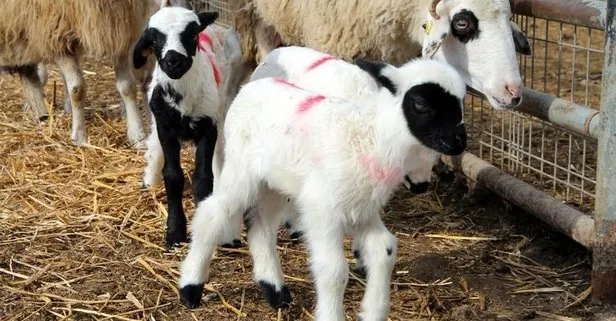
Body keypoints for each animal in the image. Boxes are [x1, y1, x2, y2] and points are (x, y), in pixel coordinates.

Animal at [0, 0, 188, 146]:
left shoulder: (120, 32)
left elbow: (127, 88)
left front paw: (137, 136)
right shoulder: (57, 32)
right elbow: (77, 89)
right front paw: (79, 137)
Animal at [134, 3, 245, 248]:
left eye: (192, 34)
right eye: (154, 40)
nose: (174, 61)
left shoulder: (208, 126)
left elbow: (203, 177)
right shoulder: (165, 128)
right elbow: (173, 176)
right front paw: (175, 232)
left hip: (220, 107)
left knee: (219, 154)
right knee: (154, 148)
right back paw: (150, 180)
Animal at [178, 57, 466, 320]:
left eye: (462, 103)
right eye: (421, 104)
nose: (459, 142)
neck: (371, 138)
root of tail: (252, 86)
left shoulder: (362, 209)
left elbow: (385, 249)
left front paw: (374, 310)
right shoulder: (323, 210)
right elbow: (333, 270)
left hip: (277, 182)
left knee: (261, 226)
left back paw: (275, 290)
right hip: (241, 169)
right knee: (212, 214)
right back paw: (191, 287)